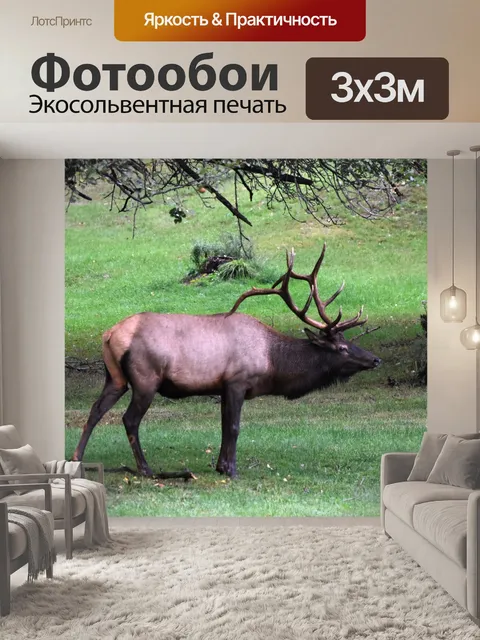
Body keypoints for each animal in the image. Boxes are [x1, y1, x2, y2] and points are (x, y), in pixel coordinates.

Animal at [72, 244, 381, 478]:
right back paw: (146, 469)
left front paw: (221, 466)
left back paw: (76, 459)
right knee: (129, 419)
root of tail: (110, 334)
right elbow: (234, 427)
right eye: (342, 347)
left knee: (95, 411)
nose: (375, 359)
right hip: (145, 379)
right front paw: (231, 470)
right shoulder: (237, 381)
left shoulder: (221, 387)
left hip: (115, 377)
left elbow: (222, 426)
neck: (273, 363)